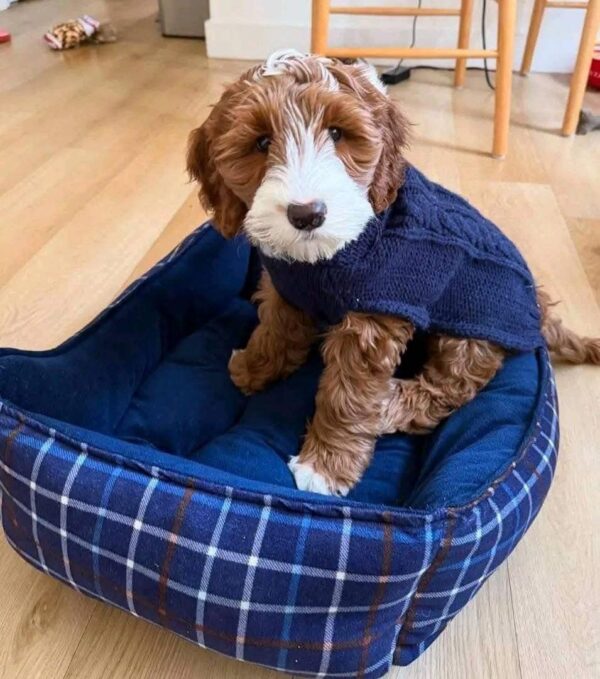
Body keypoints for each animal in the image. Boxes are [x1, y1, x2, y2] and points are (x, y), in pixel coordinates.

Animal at [188, 47, 600, 494]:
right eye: (261, 142)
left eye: (337, 133)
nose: (307, 214)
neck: (324, 256)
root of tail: (537, 305)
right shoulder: (286, 288)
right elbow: (277, 329)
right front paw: (255, 366)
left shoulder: (374, 318)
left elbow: (349, 393)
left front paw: (325, 464)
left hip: (469, 332)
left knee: (449, 388)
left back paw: (390, 406)